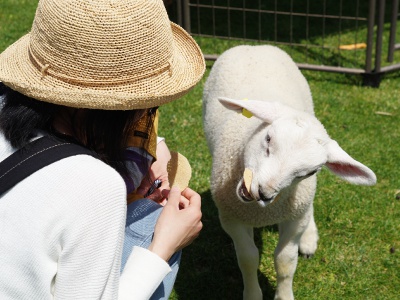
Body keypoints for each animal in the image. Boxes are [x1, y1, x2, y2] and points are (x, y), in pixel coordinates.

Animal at [202, 45, 376, 300]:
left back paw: (309, 238)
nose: (262, 192)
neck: (262, 212)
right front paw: (252, 294)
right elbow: (248, 258)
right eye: (267, 139)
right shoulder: (231, 217)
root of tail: (255, 46)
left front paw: (284, 294)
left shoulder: (294, 215)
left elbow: (285, 261)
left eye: (311, 172)